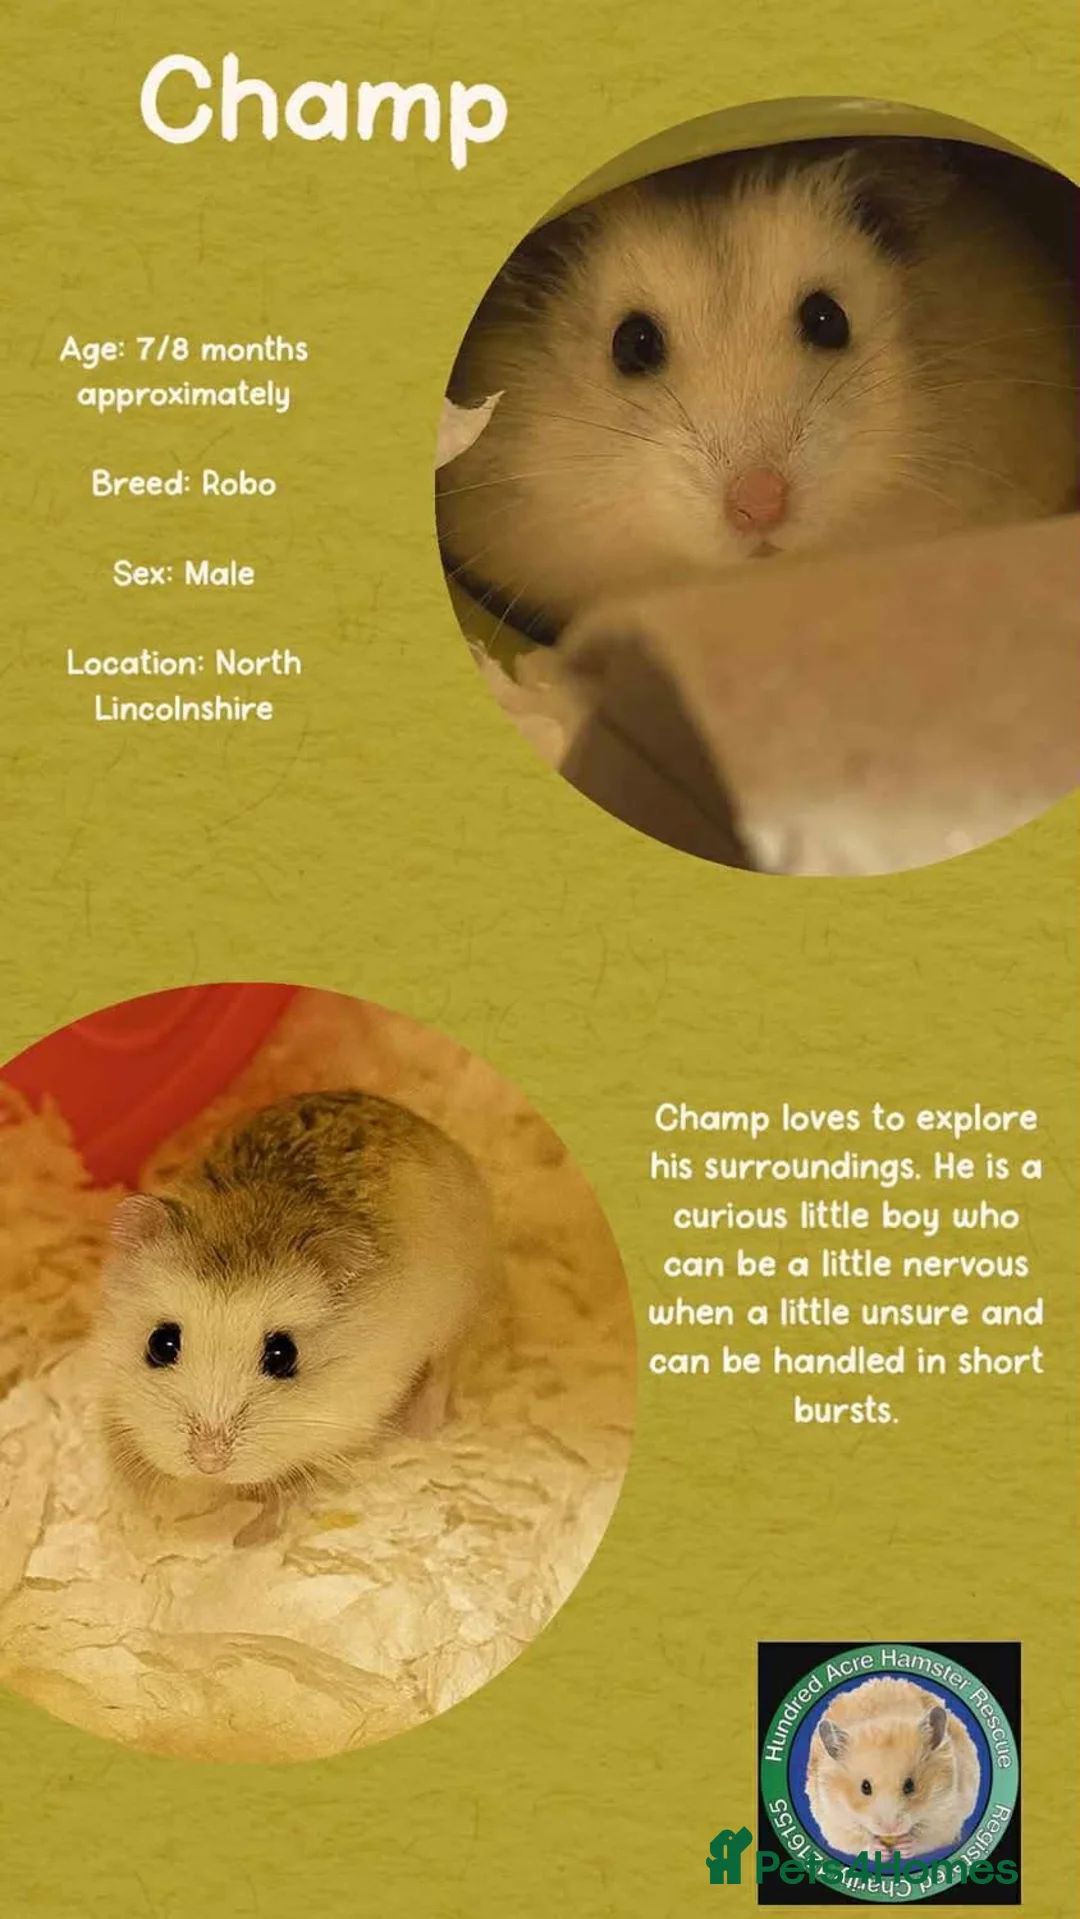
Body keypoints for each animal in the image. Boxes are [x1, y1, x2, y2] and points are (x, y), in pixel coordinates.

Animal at [87, 1090, 498, 1494]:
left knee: (445, 1363)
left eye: (283, 1355)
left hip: (455, 1309)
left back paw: (420, 1428)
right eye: (161, 1344)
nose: (209, 1463)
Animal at [806, 1677, 981, 1859]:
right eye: (865, 1787)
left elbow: (927, 1838)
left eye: (910, 1786)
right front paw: (880, 1852)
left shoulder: (946, 1812)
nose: (890, 1829)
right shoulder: (834, 1819)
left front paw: (904, 1847)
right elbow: (856, 1841)